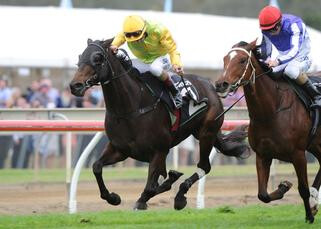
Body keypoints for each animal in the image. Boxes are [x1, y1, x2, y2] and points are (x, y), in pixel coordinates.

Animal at [68, 38, 248, 210]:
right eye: (80, 57)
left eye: (98, 58)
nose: (75, 85)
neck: (131, 108)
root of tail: (210, 85)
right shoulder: (119, 149)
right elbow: (96, 167)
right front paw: (113, 198)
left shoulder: (159, 151)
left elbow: (152, 187)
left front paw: (144, 199)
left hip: (206, 132)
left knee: (204, 166)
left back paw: (180, 197)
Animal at [214, 40, 320, 223]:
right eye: (225, 59)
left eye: (242, 60)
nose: (221, 84)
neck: (271, 111)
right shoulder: (263, 155)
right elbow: (262, 194)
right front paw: (284, 186)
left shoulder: (298, 154)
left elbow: (303, 189)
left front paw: (309, 216)